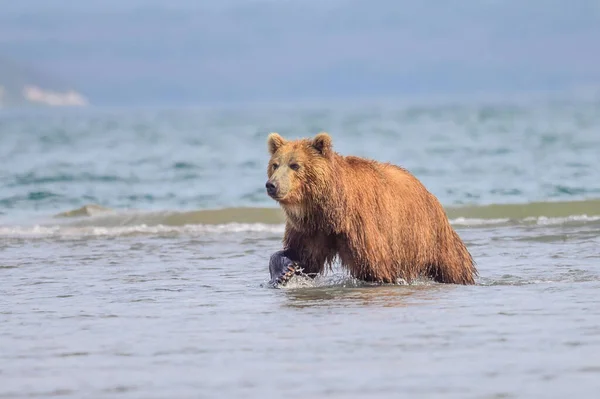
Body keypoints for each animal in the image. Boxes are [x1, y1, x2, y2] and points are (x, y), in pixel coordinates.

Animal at [264, 132, 476, 288]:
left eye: (295, 165)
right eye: (275, 164)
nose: (271, 185)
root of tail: (429, 193)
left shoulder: (363, 225)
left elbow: (375, 267)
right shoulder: (313, 227)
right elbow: (305, 258)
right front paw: (284, 270)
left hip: (430, 235)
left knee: (454, 266)